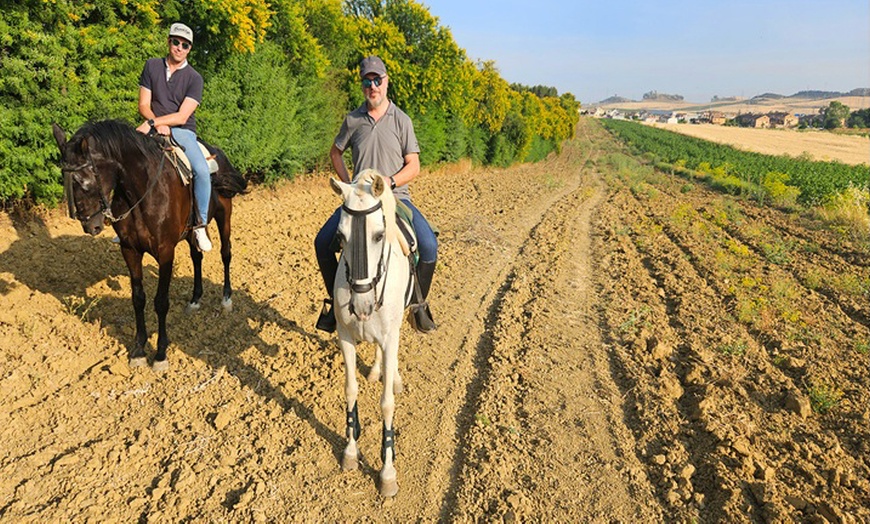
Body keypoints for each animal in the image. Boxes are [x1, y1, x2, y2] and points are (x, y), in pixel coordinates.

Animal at [52, 119, 248, 371]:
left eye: (84, 182)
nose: (90, 226)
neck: (142, 191)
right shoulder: (129, 250)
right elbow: (138, 299)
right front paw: (138, 350)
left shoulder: (165, 253)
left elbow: (161, 302)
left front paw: (161, 353)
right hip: (190, 233)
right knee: (197, 257)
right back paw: (195, 300)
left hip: (225, 216)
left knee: (226, 253)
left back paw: (226, 299)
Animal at [330, 169, 414, 498]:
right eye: (340, 237)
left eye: (379, 235)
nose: (362, 305)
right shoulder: (345, 337)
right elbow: (350, 390)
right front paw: (351, 452)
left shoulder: (391, 338)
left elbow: (387, 403)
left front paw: (387, 472)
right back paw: (377, 370)